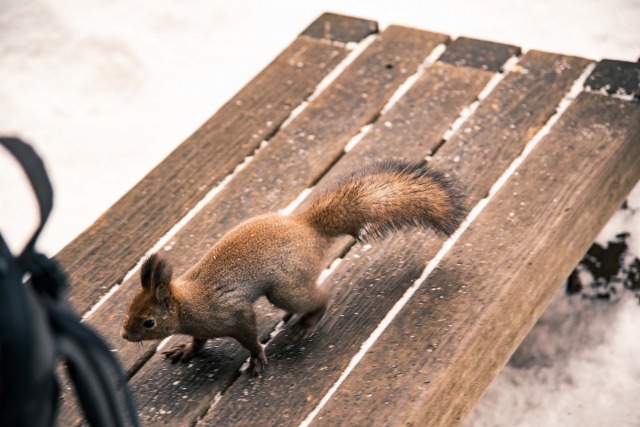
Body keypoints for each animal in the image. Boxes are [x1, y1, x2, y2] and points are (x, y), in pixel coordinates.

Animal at [120, 160, 464, 374]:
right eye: (128, 310)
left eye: (148, 322)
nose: (124, 335)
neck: (189, 301)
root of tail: (306, 227)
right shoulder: (202, 327)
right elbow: (199, 341)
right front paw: (187, 351)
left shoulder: (232, 313)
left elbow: (250, 336)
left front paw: (257, 358)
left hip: (284, 289)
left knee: (320, 298)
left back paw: (308, 324)